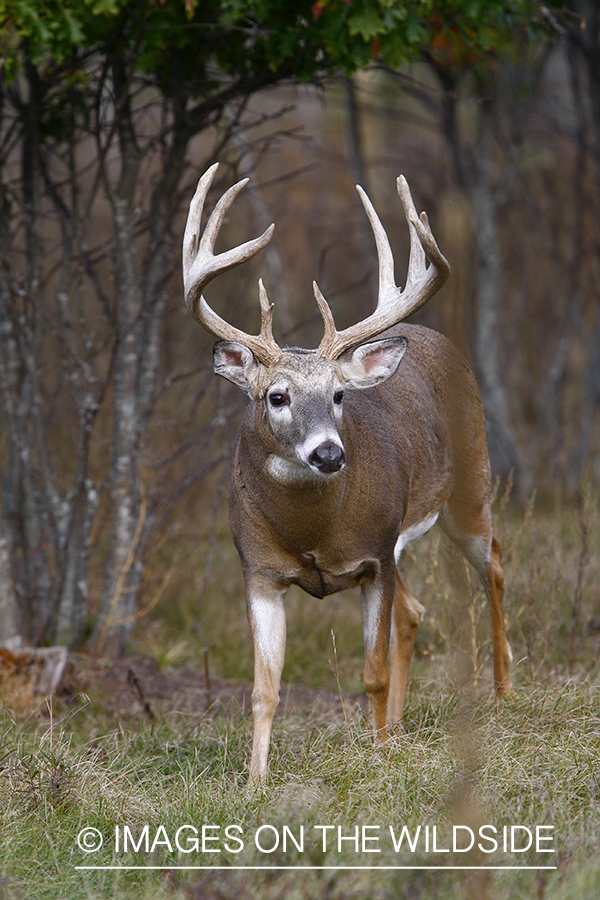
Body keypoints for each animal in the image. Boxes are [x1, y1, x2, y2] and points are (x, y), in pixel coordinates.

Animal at [182, 165, 510, 784]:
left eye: (338, 395)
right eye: (276, 396)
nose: (330, 455)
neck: (313, 533)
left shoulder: (374, 557)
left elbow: (372, 673)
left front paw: (377, 760)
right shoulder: (259, 571)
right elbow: (263, 690)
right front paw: (255, 782)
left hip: (467, 488)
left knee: (495, 566)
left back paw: (503, 694)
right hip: (403, 539)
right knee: (415, 612)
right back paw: (398, 728)